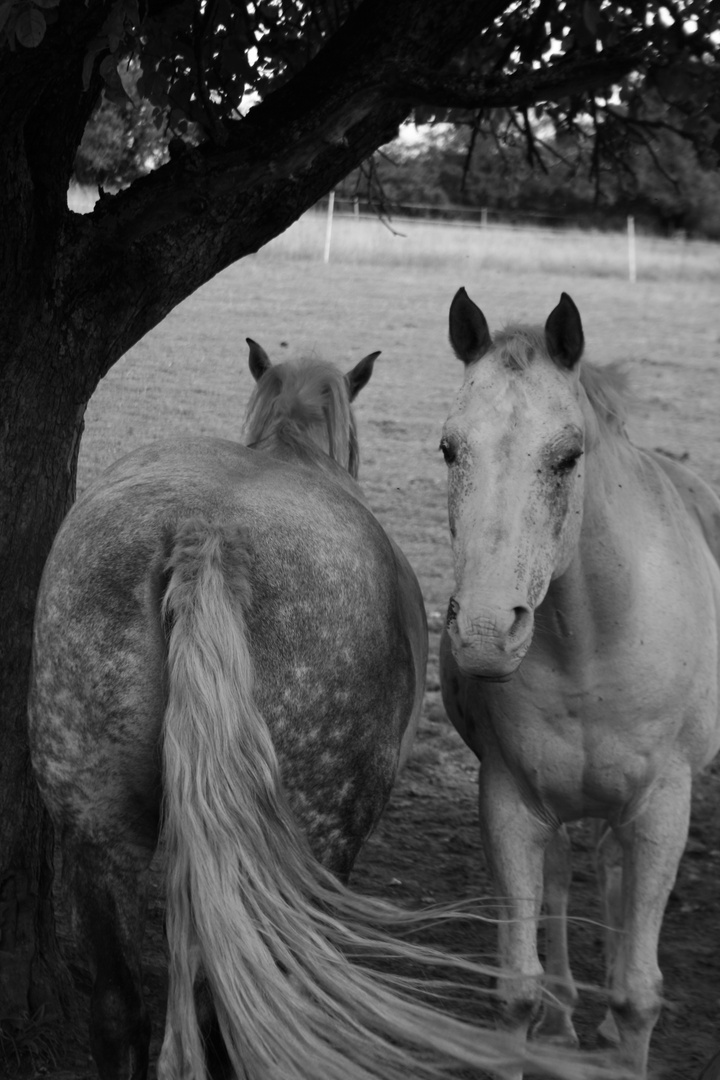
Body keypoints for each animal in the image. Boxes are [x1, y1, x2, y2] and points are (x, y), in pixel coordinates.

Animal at [440, 289, 720, 1080]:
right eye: (450, 449)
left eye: (567, 456)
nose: (482, 634)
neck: (589, 644)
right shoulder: (508, 801)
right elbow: (515, 990)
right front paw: (546, 1017)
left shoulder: (662, 808)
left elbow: (637, 994)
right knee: (568, 878)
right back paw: (567, 1016)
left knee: (614, 877)